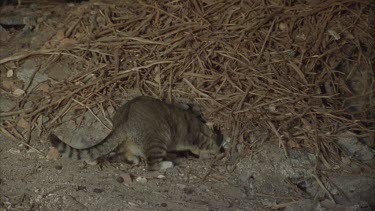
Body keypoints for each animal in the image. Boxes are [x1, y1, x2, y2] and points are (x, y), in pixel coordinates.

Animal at [48, 95, 222, 170]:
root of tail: (124, 121)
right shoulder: (194, 135)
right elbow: (207, 143)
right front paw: (217, 150)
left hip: (129, 140)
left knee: (127, 152)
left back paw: (133, 158)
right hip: (157, 139)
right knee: (152, 165)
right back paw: (165, 164)